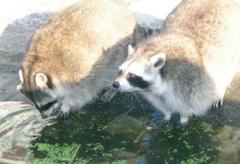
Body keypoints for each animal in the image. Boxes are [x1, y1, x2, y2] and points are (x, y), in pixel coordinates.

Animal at [112, 0, 240, 123]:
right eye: (120, 71)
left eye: (131, 75)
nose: (115, 84)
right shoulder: (154, 93)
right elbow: (162, 104)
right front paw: (166, 115)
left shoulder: (189, 81)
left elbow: (188, 105)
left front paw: (183, 120)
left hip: (230, 51)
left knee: (224, 73)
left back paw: (219, 91)